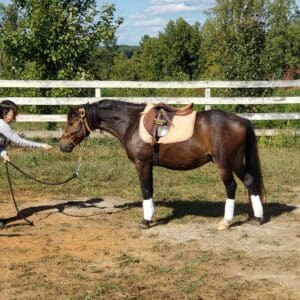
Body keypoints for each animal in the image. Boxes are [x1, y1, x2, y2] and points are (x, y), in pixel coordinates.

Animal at [59, 100, 264, 230]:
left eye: (71, 122)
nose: (63, 145)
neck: (132, 122)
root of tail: (242, 120)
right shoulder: (148, 165)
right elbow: (150, 190)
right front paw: (151, 214)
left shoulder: (142, 164)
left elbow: (145, 190)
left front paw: (145, 221)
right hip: (236, 162)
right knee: (250, 182)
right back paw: (257, 218)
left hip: (224, 164)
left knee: (231, 187)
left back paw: (226, 222)